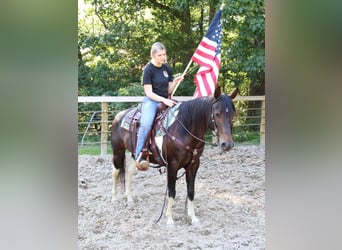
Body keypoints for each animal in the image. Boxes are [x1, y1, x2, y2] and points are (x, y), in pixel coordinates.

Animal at [110, 87, 238, 225]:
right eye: (217, 113)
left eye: (233, 114)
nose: (227, 144)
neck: (185, 128)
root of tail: (119, 116)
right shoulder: (172, 165)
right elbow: (172, 191)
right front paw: (170, 219)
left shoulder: (194, 164)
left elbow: (191, 191)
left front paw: (193, 218)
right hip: (117, 151)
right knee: (116, 172)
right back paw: (114, 199)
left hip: (135, 155)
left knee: (128, 172)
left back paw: (129, 199)